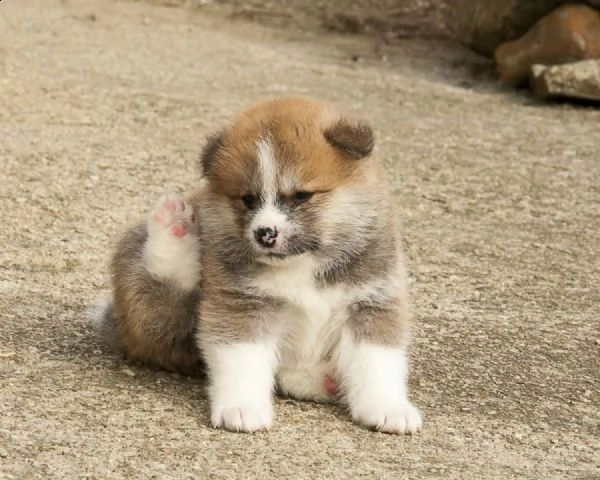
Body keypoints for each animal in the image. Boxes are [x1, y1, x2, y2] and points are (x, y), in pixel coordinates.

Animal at [94, 97, 422, 436]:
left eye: (302, 195)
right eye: (248, 199)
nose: (265, 233)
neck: (304, 264)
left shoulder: (373, 302)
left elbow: (377, 362)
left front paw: (387, 407)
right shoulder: (242, 304)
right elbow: (242, 361)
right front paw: (241, 408)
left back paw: (326, 380)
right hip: (149, 298)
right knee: (165, 313)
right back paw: (175, 229)